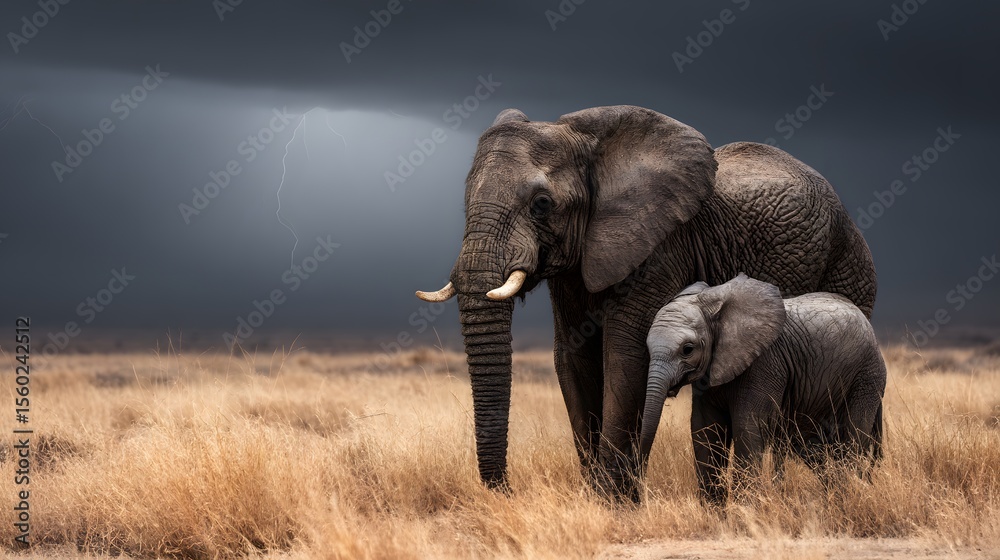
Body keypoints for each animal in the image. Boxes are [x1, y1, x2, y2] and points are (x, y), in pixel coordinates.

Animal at [640, 274, 887, 504]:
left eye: (687, 349)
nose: (641, 490)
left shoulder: (764, 364)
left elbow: (747, 426)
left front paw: (745, 509)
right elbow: (706, 429)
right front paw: (715, 510)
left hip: (867, 376)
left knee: (853, 436)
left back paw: (853, 493)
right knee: (814, 447)